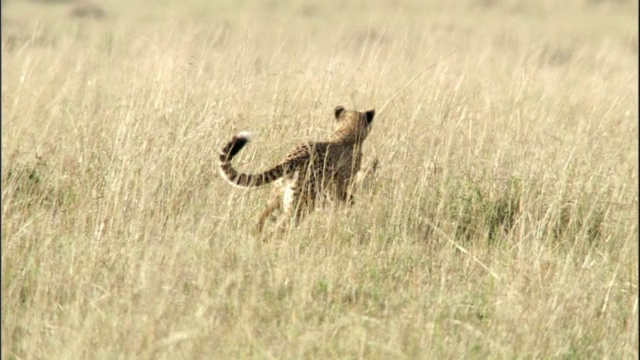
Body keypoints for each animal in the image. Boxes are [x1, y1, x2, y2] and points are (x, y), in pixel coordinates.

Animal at [219, 105, 376, 232]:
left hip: (278, 196)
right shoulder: (340, 184)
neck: (346, 131)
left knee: (261, 219)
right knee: (280, 227)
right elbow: (346, 196)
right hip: (301, 204)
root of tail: (292, 159)